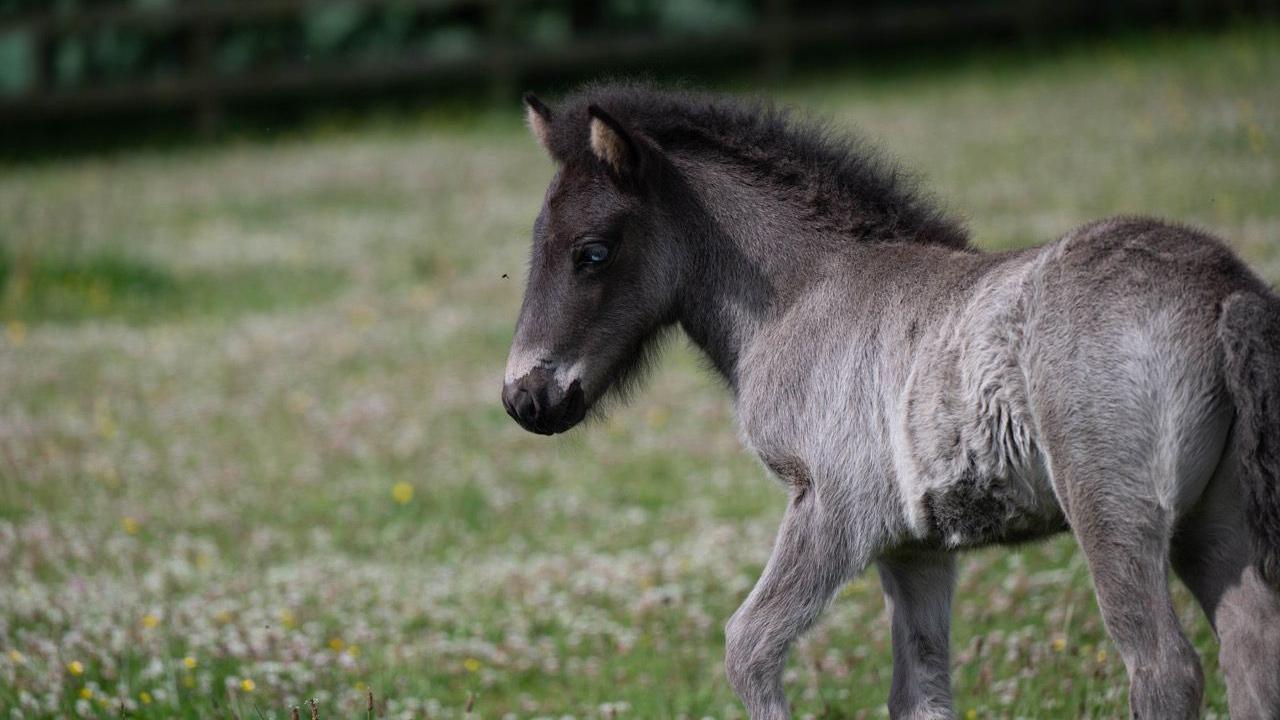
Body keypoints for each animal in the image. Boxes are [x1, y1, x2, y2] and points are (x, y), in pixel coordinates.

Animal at [500, 83, 1280, 719]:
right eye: (535, 243)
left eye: (592, 252)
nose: (524, 399)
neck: (804, 292)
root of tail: (1225, 288)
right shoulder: (915, 547)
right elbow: (921, 694)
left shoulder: (834, 508)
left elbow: (748, 648)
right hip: (1213, 524)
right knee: (1252, 650)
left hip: (1114, 513)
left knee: (1165, 669)